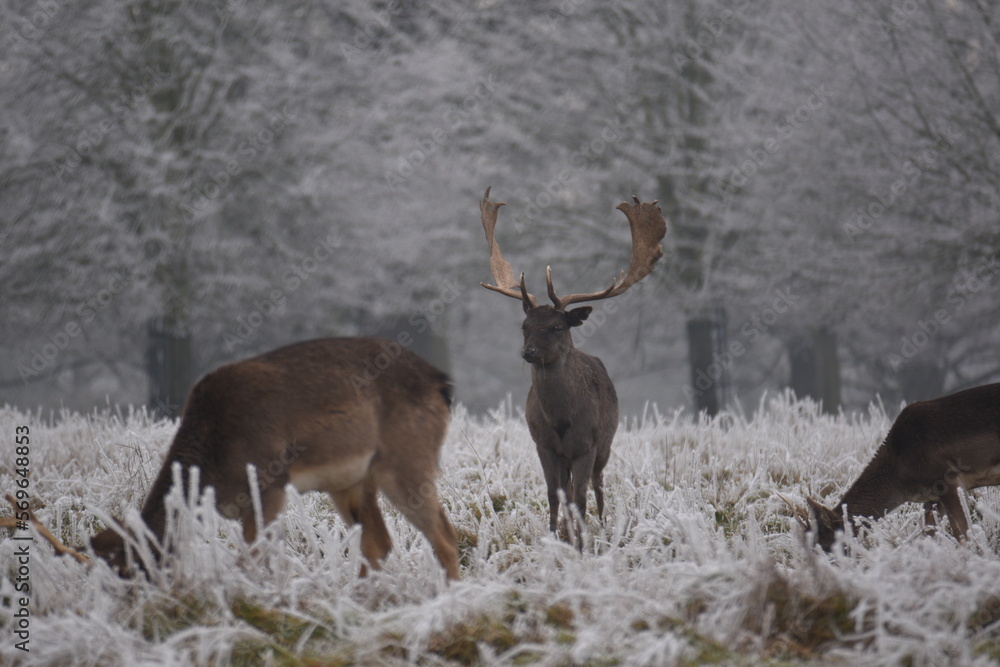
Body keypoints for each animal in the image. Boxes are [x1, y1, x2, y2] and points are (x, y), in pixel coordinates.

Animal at [87, 337, 460, 580]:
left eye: (131, 569)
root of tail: (442, 382)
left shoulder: (270, 484)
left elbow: (251, 559)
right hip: (351, 482)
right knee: (378, 543)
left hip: (407, 460)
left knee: (444, 534)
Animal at [478, 186, 667, 543]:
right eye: (524, 326)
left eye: (556, 327)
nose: (529, 352)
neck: (562, 419)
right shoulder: (543, 444)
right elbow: (555, 494)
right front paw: (555, 537)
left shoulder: (587, 444)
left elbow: (580, 496)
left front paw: (582, 543)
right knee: (567, 489)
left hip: (606, 444)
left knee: (598, 485)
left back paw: (603, 525)